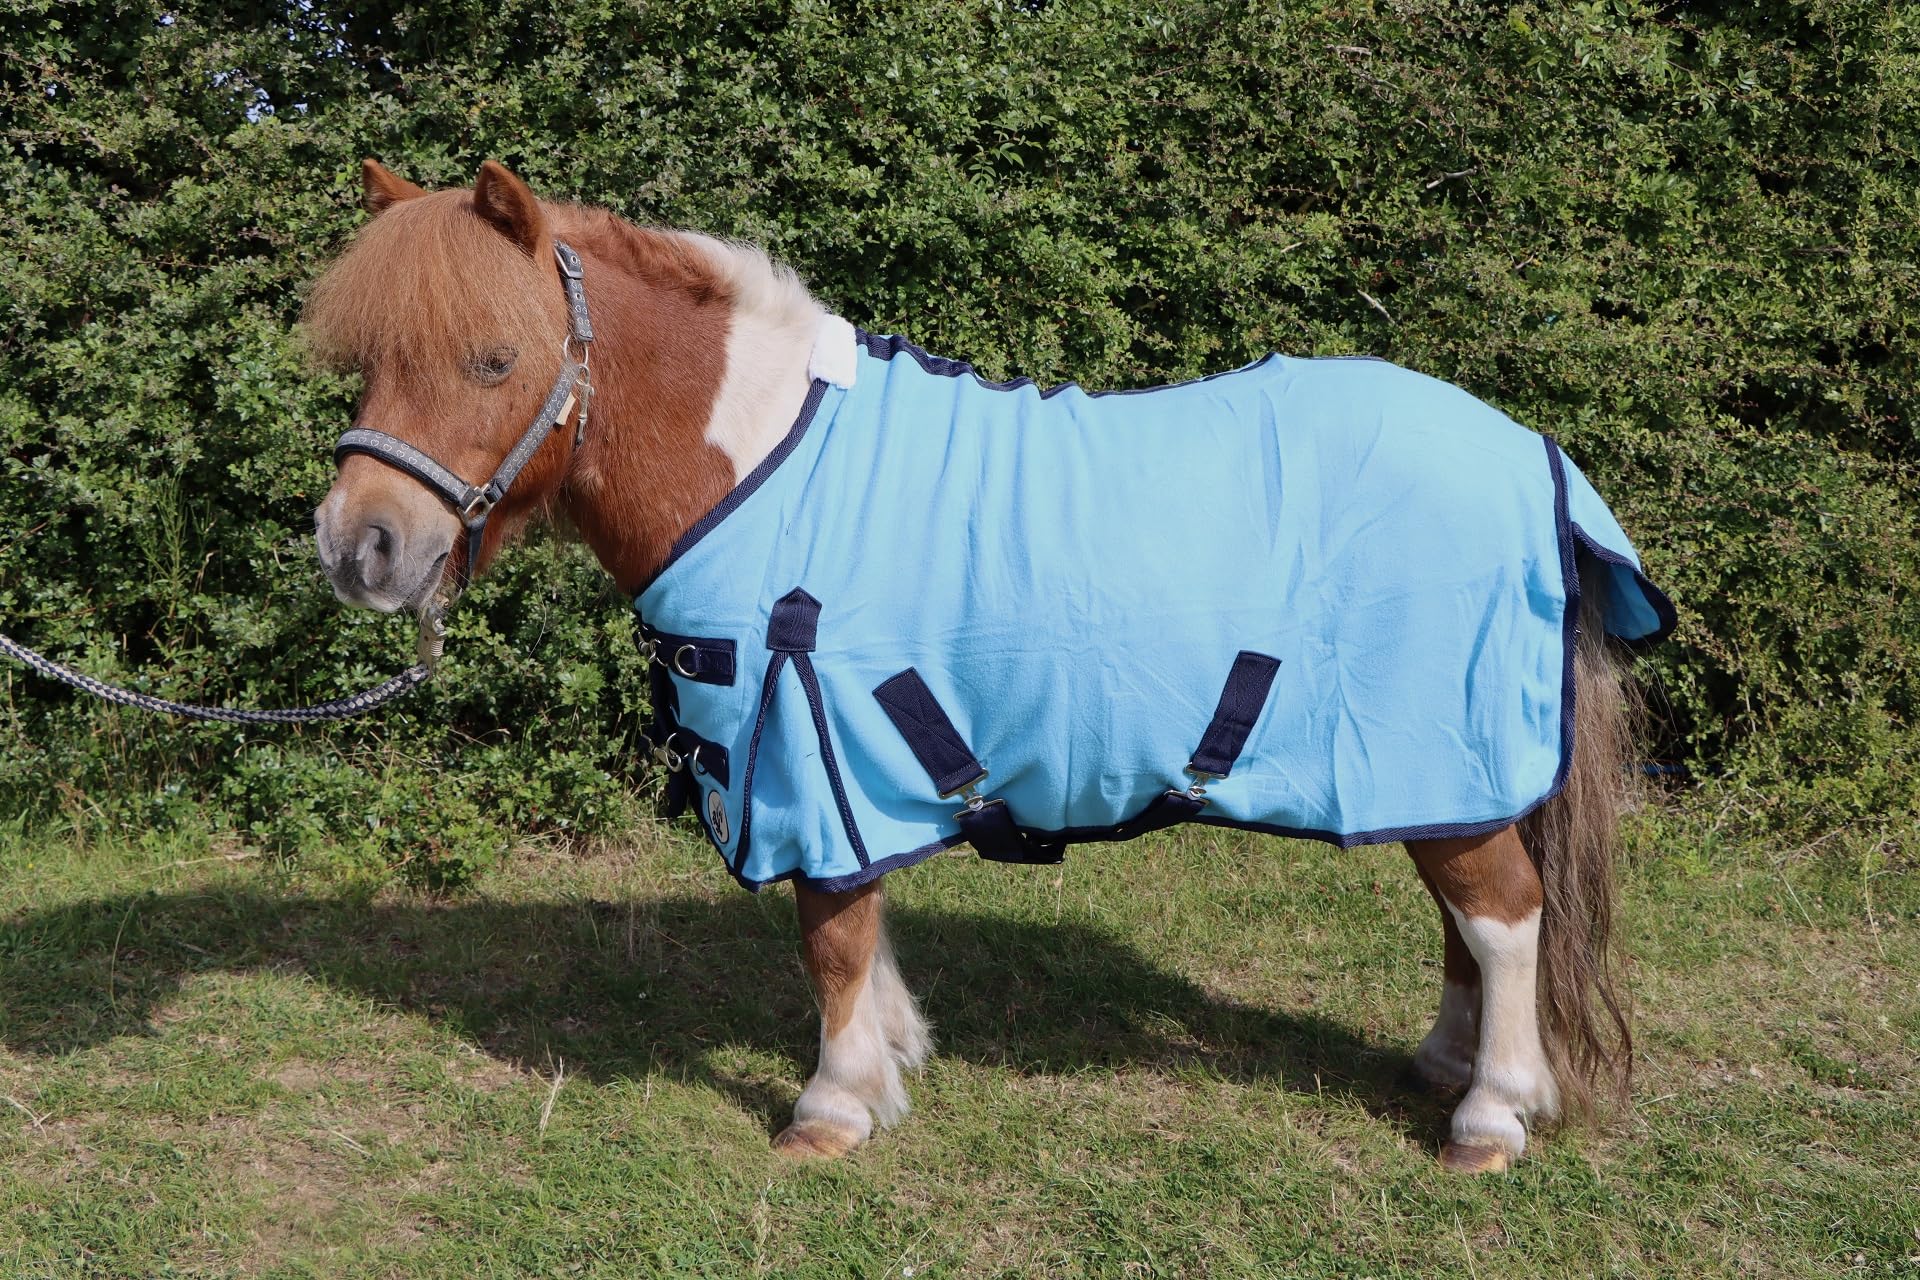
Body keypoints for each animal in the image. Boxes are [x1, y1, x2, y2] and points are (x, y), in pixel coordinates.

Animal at [309, 159, 1672, 1174]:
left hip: (1432, 748)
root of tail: (1529, 452)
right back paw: (1445, 1067)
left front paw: (833, 1105)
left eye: (493, 357)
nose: (358, 545)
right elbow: (859, 921)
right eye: (366, 359)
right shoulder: (848, 767)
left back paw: (1491, 1113)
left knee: (1503, 914)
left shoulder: (810, 744)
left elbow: (831, 934)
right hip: (1428, 772)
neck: (768, 469)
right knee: (1469, 913)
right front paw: (889, 1060)